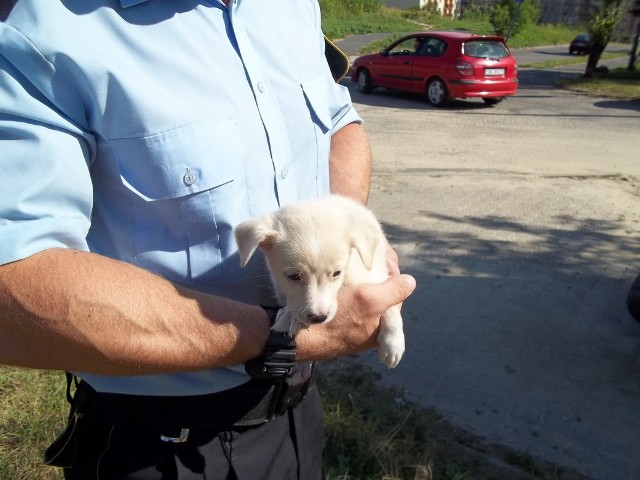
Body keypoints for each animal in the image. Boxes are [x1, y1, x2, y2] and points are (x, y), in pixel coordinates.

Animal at [235, 194, 404, 368]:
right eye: (294, 276)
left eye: (337, 273)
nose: (319, 317)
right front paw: (289, 316)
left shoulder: (375, 275)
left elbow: (391, 305)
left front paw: (393, 342)